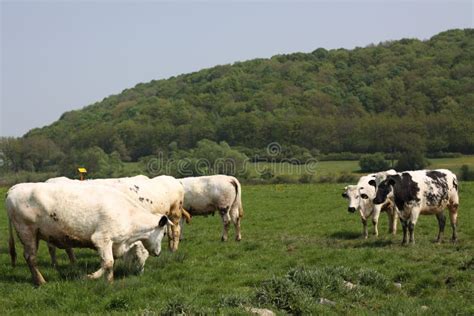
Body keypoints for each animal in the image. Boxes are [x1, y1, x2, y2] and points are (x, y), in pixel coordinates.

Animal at [6, 181, 172, 286]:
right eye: (164, 234)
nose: (158, 253)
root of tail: (14, 188)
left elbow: (109, 264)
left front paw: (109, 282)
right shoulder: (102, 239)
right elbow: (108, 262)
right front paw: (91, 276)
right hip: (27, 232)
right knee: (31, 258)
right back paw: (41, 281)